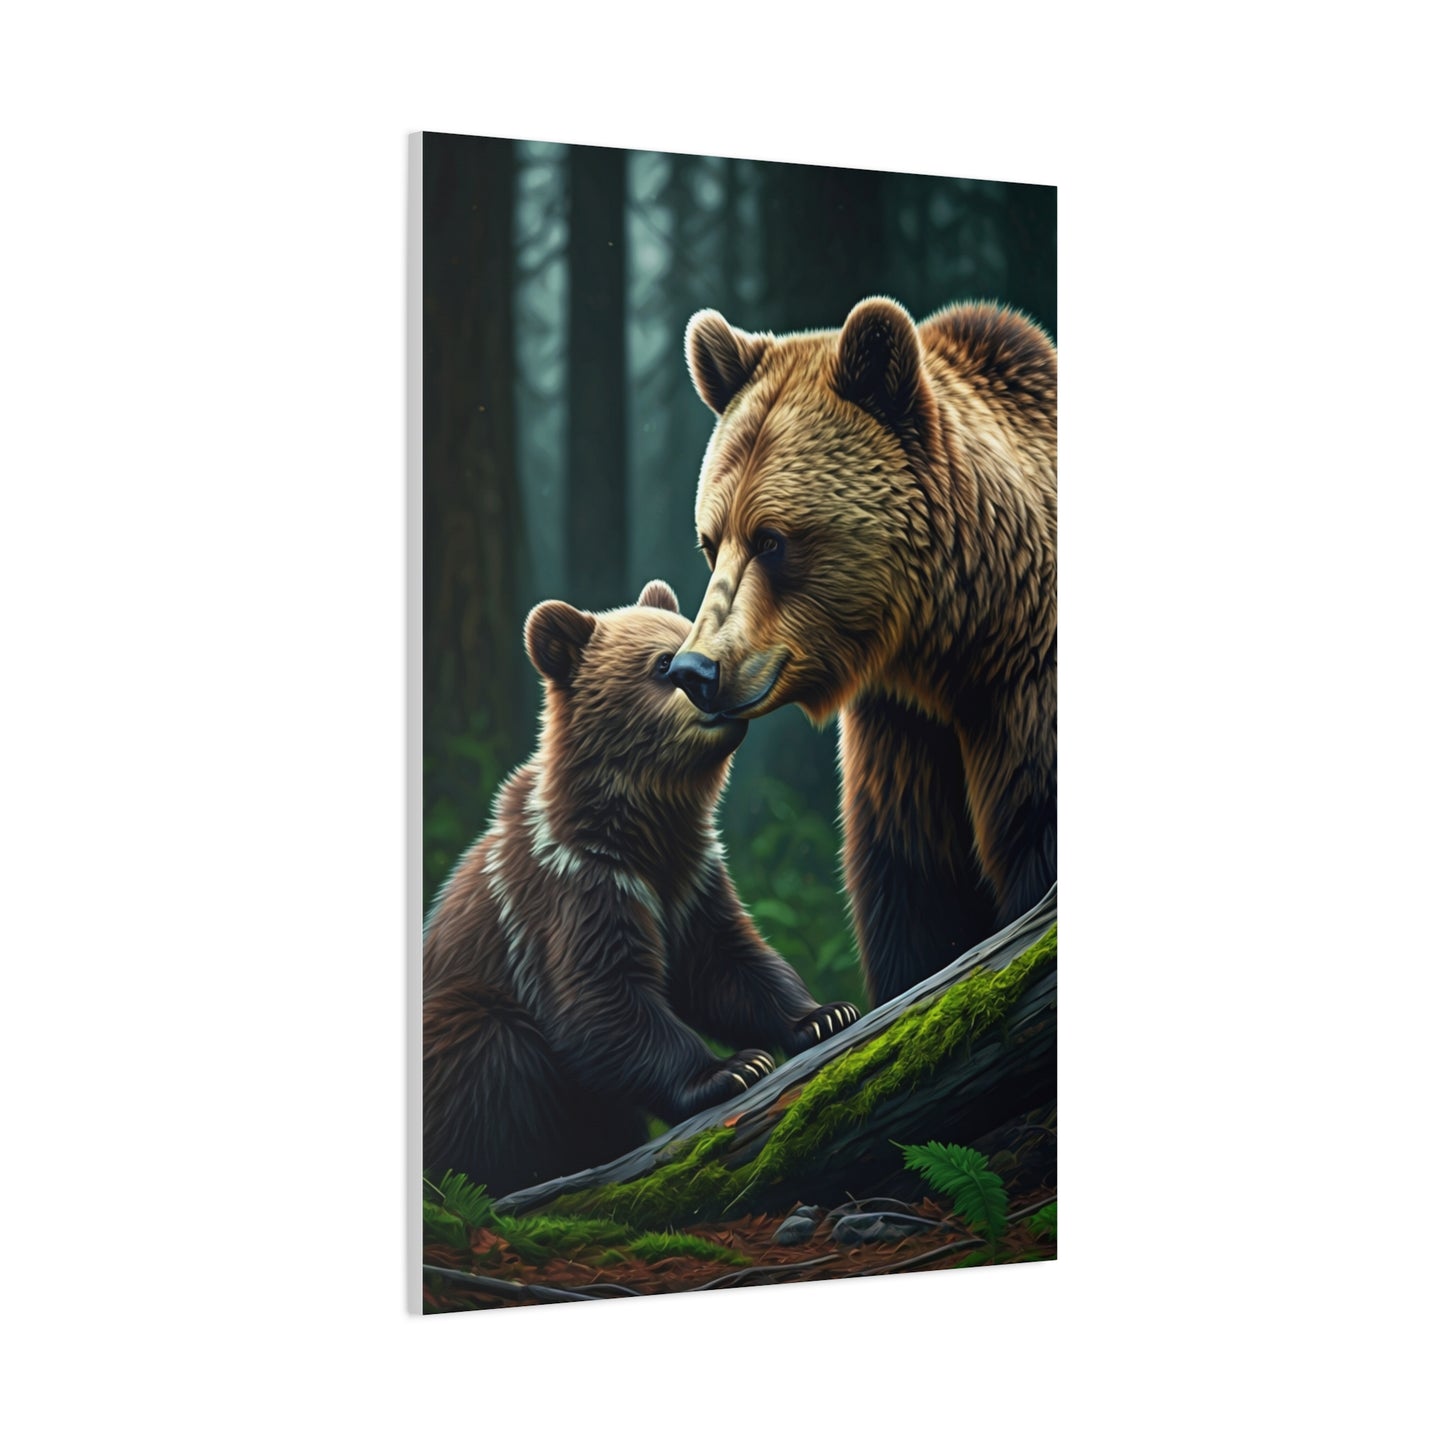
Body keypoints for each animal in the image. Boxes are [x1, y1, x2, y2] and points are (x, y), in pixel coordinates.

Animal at [423, 579, 859, 1197]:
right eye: (663, 664)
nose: (721, 690)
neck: (643, 824)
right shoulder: (573, 885)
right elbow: (603, 998)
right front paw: (732, 1067)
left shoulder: (691, 877)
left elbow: (729, 962)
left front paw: (823, 1014)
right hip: (465, 1014)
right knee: (489, 1051)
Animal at [668, 297, 1056, 1008]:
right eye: (711, 540)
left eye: (771, 540)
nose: (694, 670)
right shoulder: (902, 736)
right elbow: (912, 891)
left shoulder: (1027, 694)